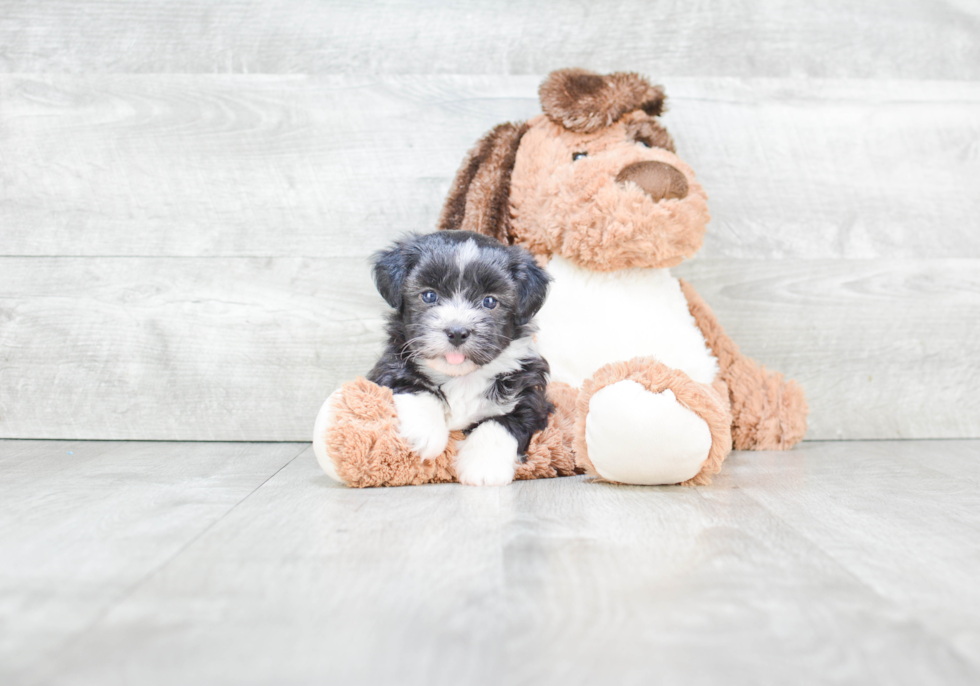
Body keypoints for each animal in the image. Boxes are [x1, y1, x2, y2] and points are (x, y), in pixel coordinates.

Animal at [368, 228, 552, 486]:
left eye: (489, 301)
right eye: (429, 296)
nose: (456, 332)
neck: (462, 377)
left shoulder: (531, 397)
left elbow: (504, 421)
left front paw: (484, 465)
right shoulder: (389, 367)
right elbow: (414, 385)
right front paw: (424, 432)